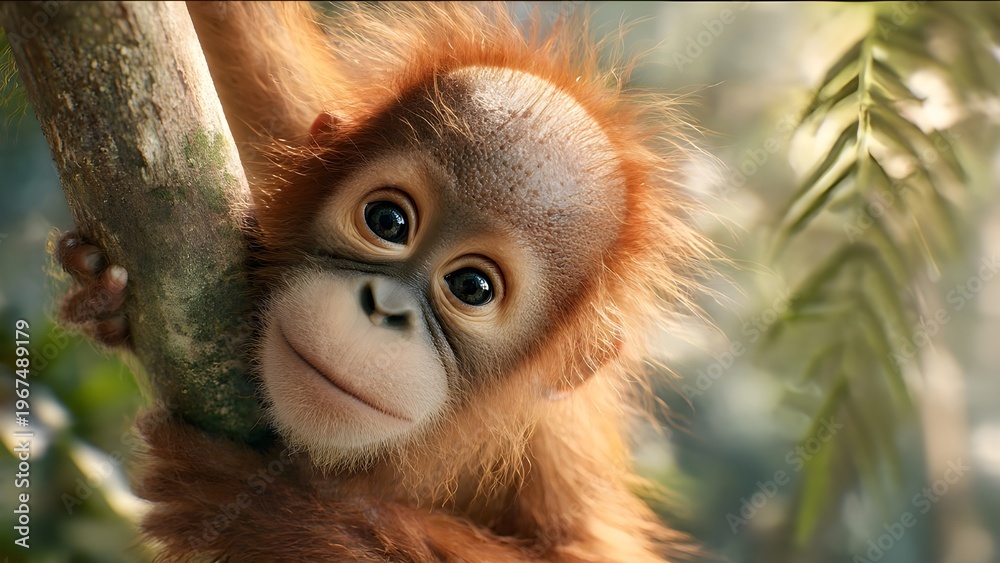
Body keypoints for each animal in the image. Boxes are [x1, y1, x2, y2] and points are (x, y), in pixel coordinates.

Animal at [56, 2, 708, 561]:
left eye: (472, 288)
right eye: (387, 221)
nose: (383, 307)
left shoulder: (556, 456)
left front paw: (269, 510)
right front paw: (103, 297)